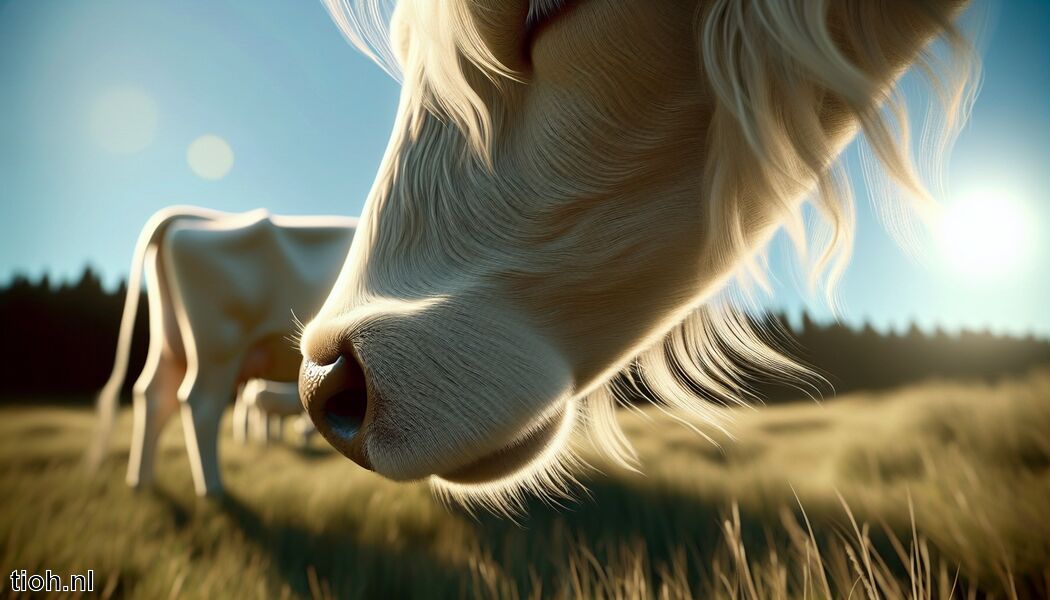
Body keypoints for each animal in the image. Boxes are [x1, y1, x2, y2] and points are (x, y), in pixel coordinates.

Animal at [90, 206, 355, 496]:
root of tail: (194, 217)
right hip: (219, 345)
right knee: (201, 404)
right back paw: (212, 488)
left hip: (171, 344)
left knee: (154, 395)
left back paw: (141, 481)